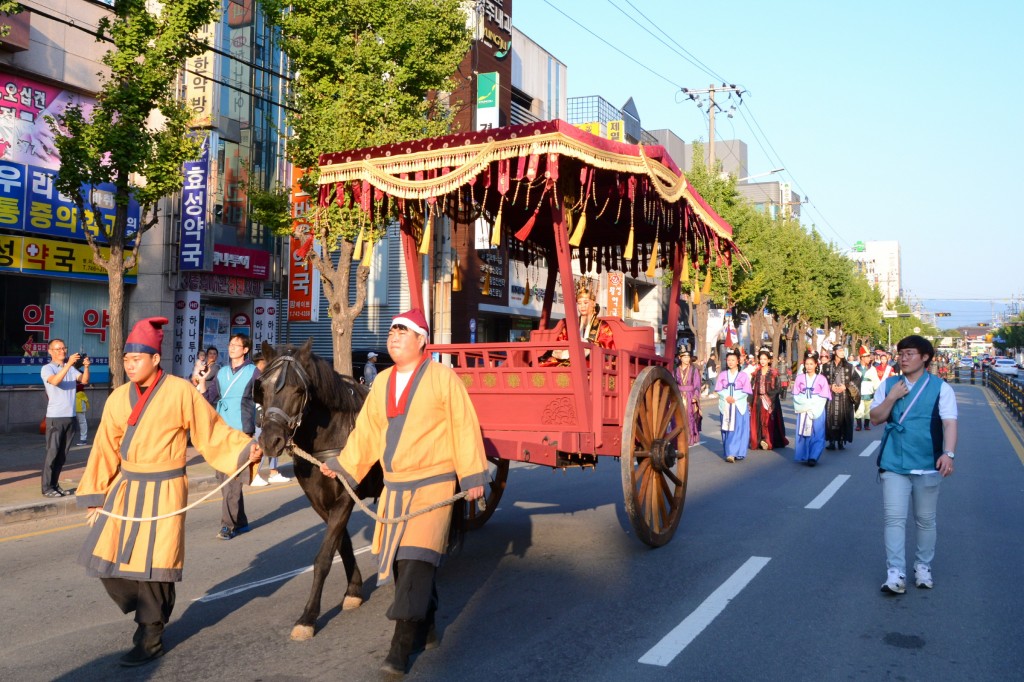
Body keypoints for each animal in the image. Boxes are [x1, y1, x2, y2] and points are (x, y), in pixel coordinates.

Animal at [256, 337, 385, 638]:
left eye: (298, 390)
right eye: (262, 388)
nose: (270, 441)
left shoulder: (345, 497)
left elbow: (323, 557)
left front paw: (308, 616)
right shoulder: (319, 501)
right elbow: (341, 545)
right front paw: (354, 590)